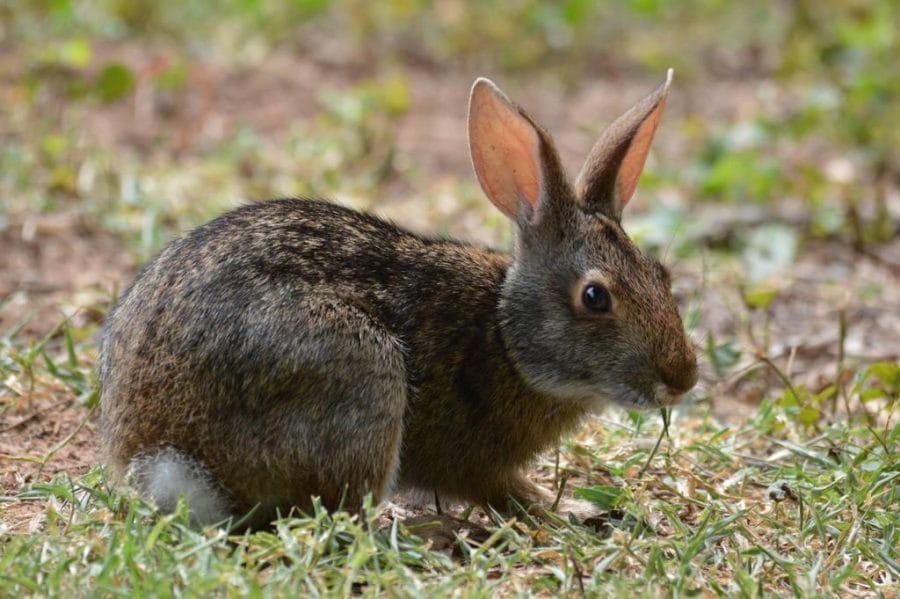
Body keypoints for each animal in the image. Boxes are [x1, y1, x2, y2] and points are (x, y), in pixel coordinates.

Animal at [102, 70, 700, 528]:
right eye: (595, 296)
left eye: (661, 274)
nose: (683, 379)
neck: (506, 339)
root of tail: (164, 455)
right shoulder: (477, 464)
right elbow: (504, 492)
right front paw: (568, 512)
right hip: (360, 373)